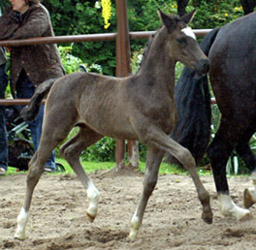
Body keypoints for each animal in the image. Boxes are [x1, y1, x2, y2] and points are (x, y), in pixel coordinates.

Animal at [13, 9, 212, 240]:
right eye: (181, 39)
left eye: (194, 37)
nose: (205, 64)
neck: (150, 88)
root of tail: (56, 81)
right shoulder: (149, 133)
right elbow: (185, 155)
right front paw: (207, 211)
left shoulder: (158, 141)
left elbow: (150, 181)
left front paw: (134, 229)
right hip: (54, 129)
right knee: (35, 167)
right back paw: (20, 228)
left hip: (91, 131)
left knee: (69, 151)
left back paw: (92, 207)